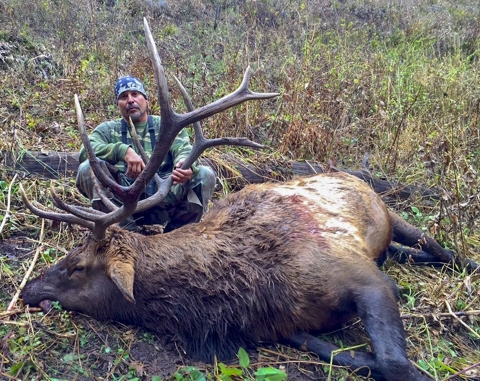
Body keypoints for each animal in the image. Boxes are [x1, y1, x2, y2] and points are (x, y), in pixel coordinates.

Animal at [18, 18, 476, 381]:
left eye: (77, 265)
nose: (27, 289)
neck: (248, 292)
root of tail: (351, 172)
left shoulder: (363, 277)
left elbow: (396, 364)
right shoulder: (285, 325)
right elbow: (350, 356)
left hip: (388, 211)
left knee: (437, 246)